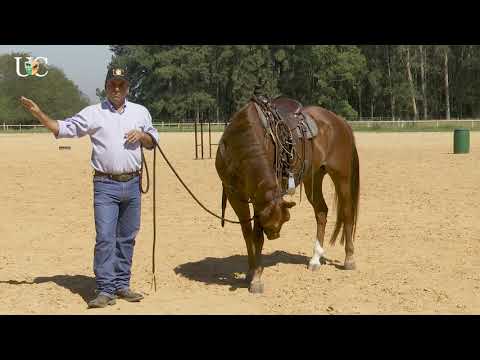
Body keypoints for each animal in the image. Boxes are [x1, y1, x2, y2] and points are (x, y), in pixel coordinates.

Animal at [216, 97, 358, 292]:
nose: (275, 235)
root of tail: (341, 122)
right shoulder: (235, 195)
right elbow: (248, 234)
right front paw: (251, 272)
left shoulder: (258, 198)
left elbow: (257, 236)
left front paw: (256, 279)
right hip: (314, 177)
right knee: (321, 211)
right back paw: (315, 259)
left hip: (341, 176)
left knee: (347, 212)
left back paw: (349, 259)